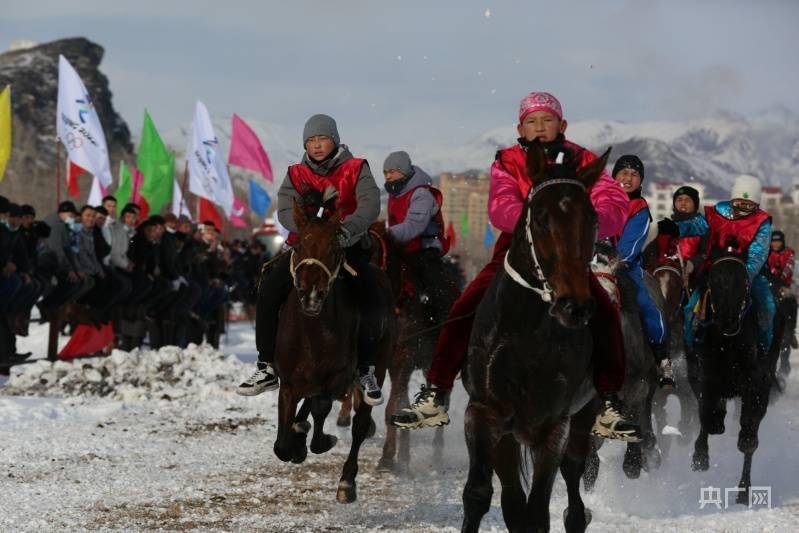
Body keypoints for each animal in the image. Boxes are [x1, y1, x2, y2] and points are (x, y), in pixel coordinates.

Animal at [272, 201, 396, 502]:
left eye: (333, 248)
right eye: (298, 246)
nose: (311, 295)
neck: (312, 331)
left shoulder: (338, 377)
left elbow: (321, 408)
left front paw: (322, 440)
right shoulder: (289, 383)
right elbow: (281, 445)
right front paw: (295, 440)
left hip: (380, 363)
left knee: (360, 423)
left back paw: (347, 482)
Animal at [460, 141, 608, 532]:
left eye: (593, 217)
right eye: (539, 216)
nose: (575, 306)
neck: (527, 332)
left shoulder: (552, 425)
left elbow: (539, 510)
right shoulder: (485, 412)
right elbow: (480, 494)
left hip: (583, 416)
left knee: (574, 482)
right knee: (513, 499)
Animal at [692, 243, 780, 504]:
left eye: (744, 281)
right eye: (714, 279)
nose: (728, 320)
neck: (729, 345)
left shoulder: (759, 383)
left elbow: (749, 438)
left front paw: (743, 491)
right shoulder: (706, 375)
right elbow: (708, 417)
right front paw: (700, 457)